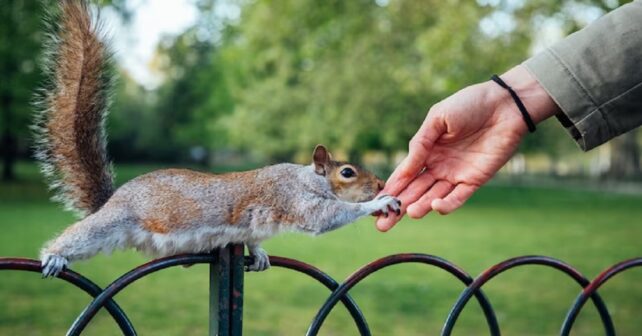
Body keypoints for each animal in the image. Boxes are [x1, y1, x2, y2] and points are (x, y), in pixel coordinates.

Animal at [35, 0, 398, 278]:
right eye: (347, 172)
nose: (380, 184)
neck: (307, 178)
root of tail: (109, 200)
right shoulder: (292, 199)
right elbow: (326, 217)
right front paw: (377, 202)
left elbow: (256, 239)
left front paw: (259, 253)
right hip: (110, 223)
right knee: (78, 237)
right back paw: (54, 255)